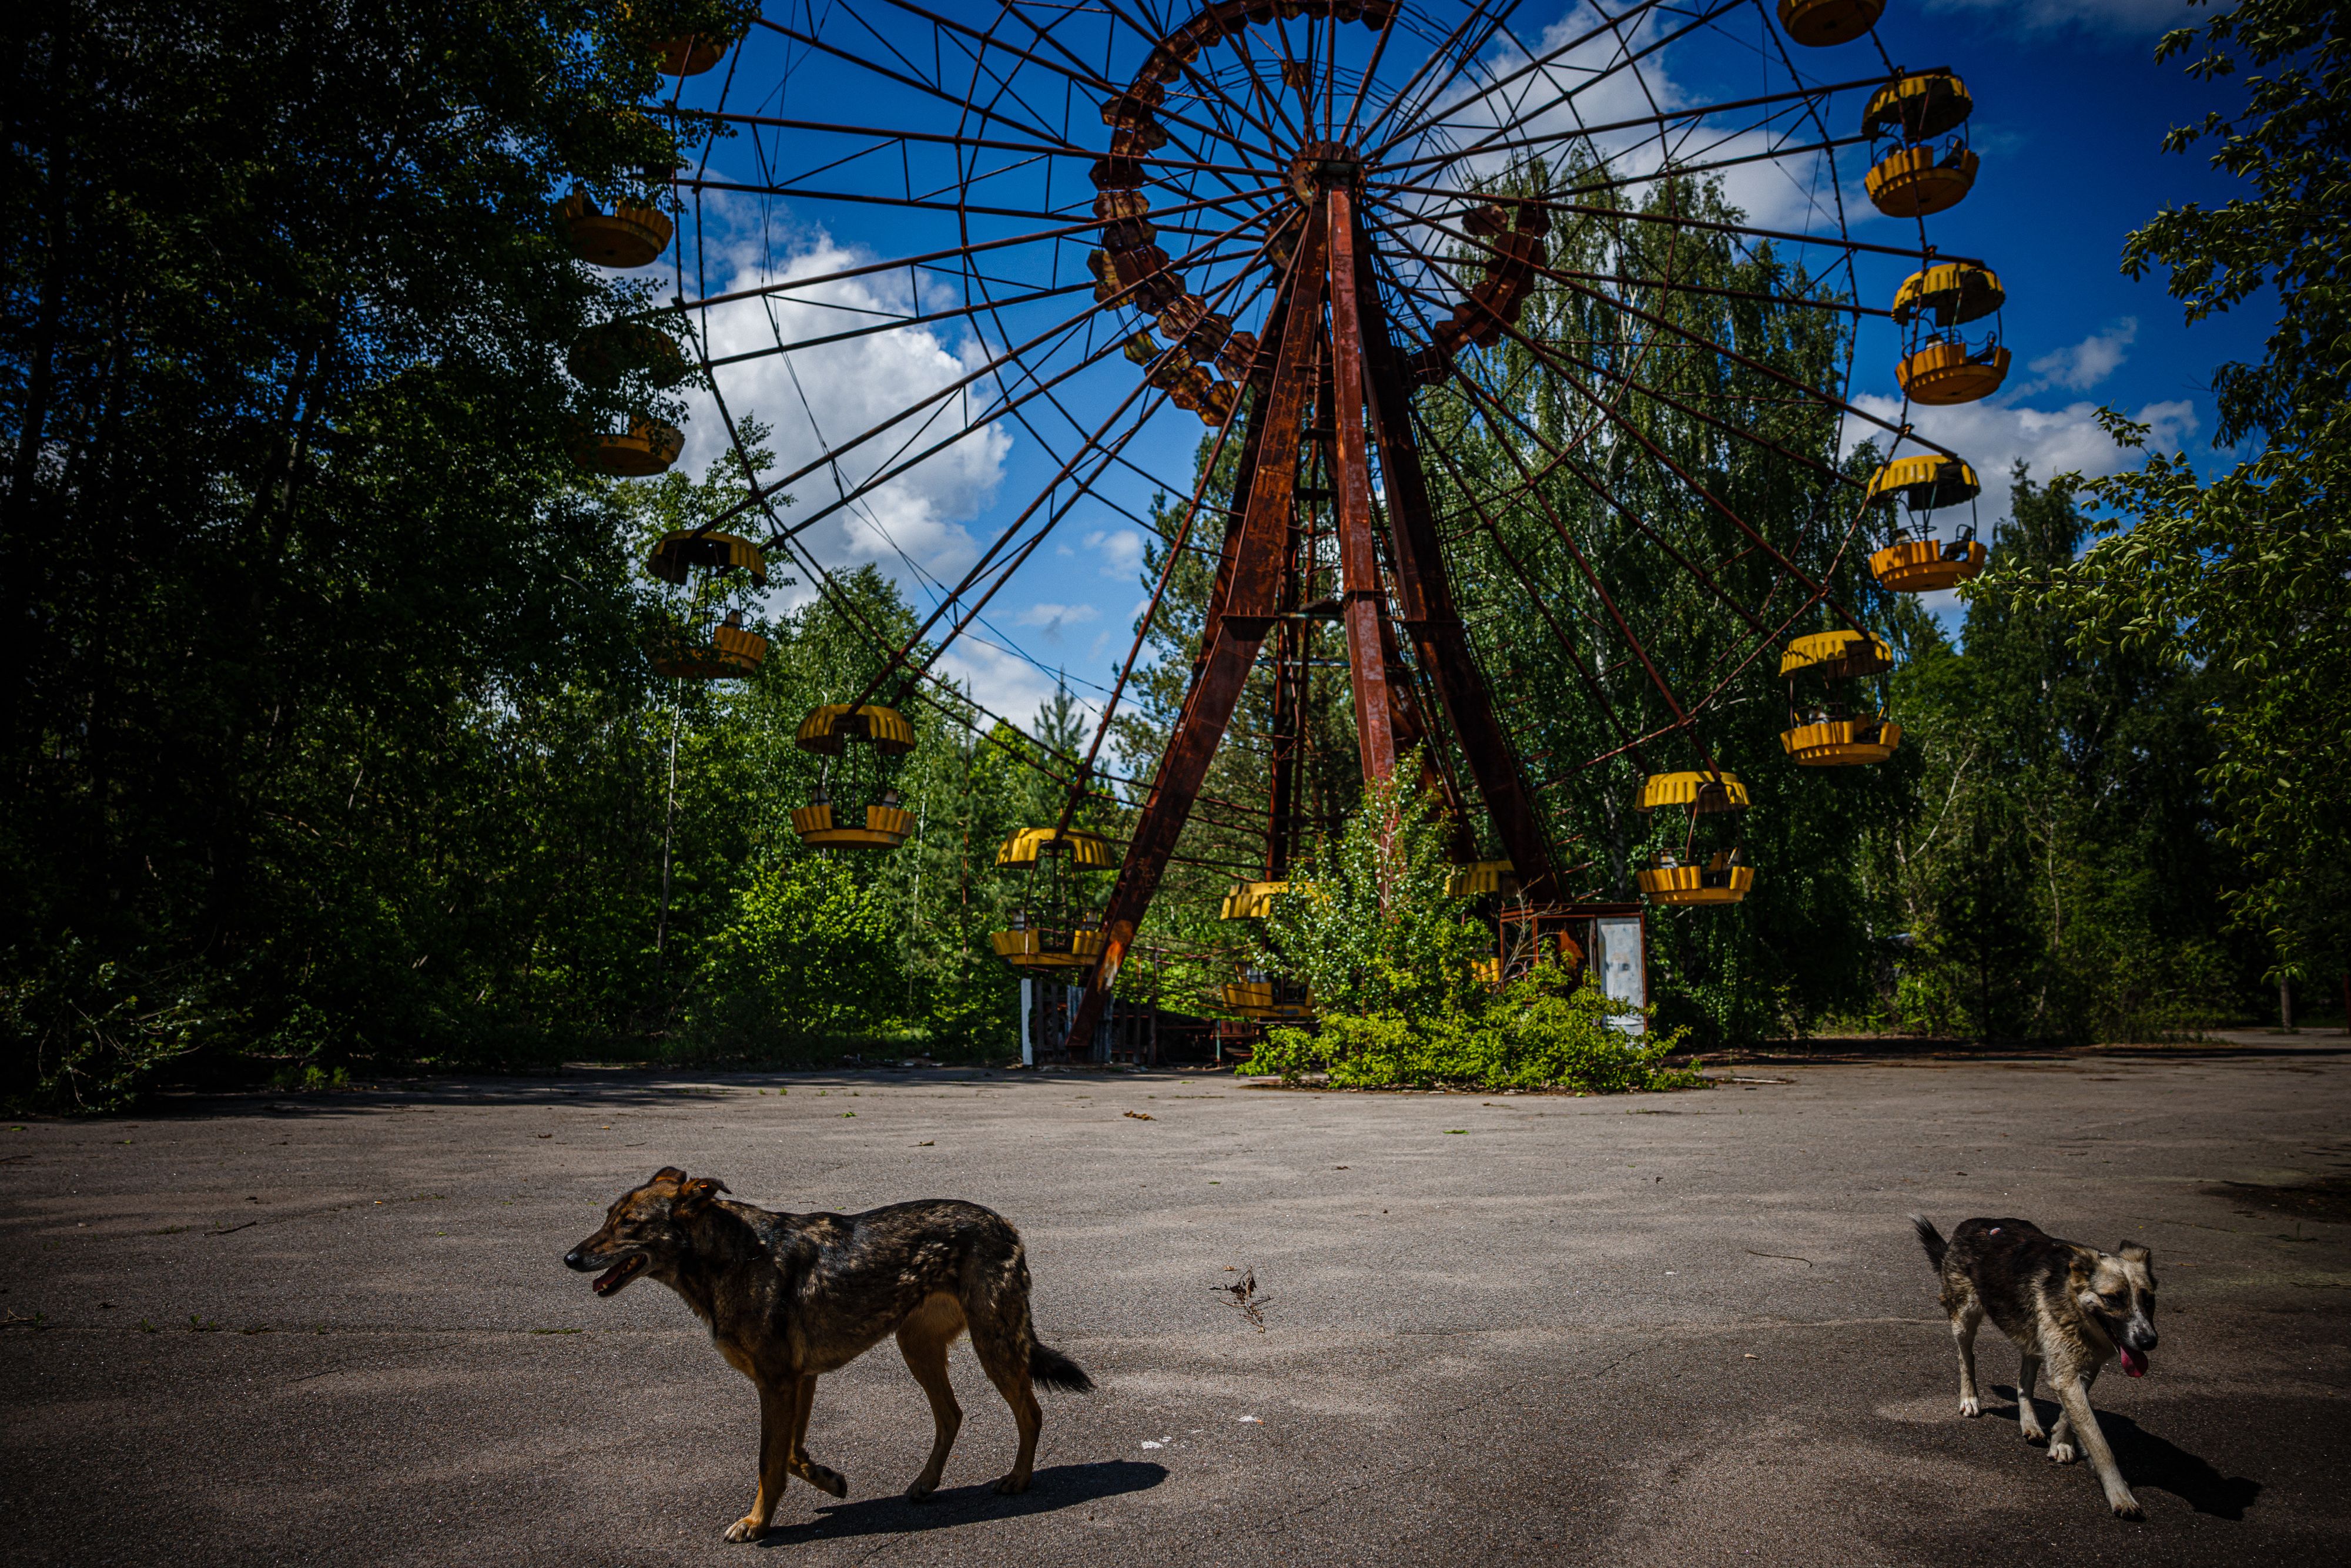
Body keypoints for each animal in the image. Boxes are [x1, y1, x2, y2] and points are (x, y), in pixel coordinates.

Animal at [569, 1166, 1091, 1542]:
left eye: (629, 1224)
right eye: (608, 1216)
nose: (570, 1258)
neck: (733, 1257)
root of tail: (1003, 1222)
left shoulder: (778, 1384)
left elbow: (769, 1462)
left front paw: (757, 1524)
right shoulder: (798, 1381)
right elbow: (790, 1455)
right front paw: (827, 1479)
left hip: (993, 1345)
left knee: (1030, 1411)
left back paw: (1019, 1478)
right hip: (917, 1347)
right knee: (952, 1414)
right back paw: (926, 1483)